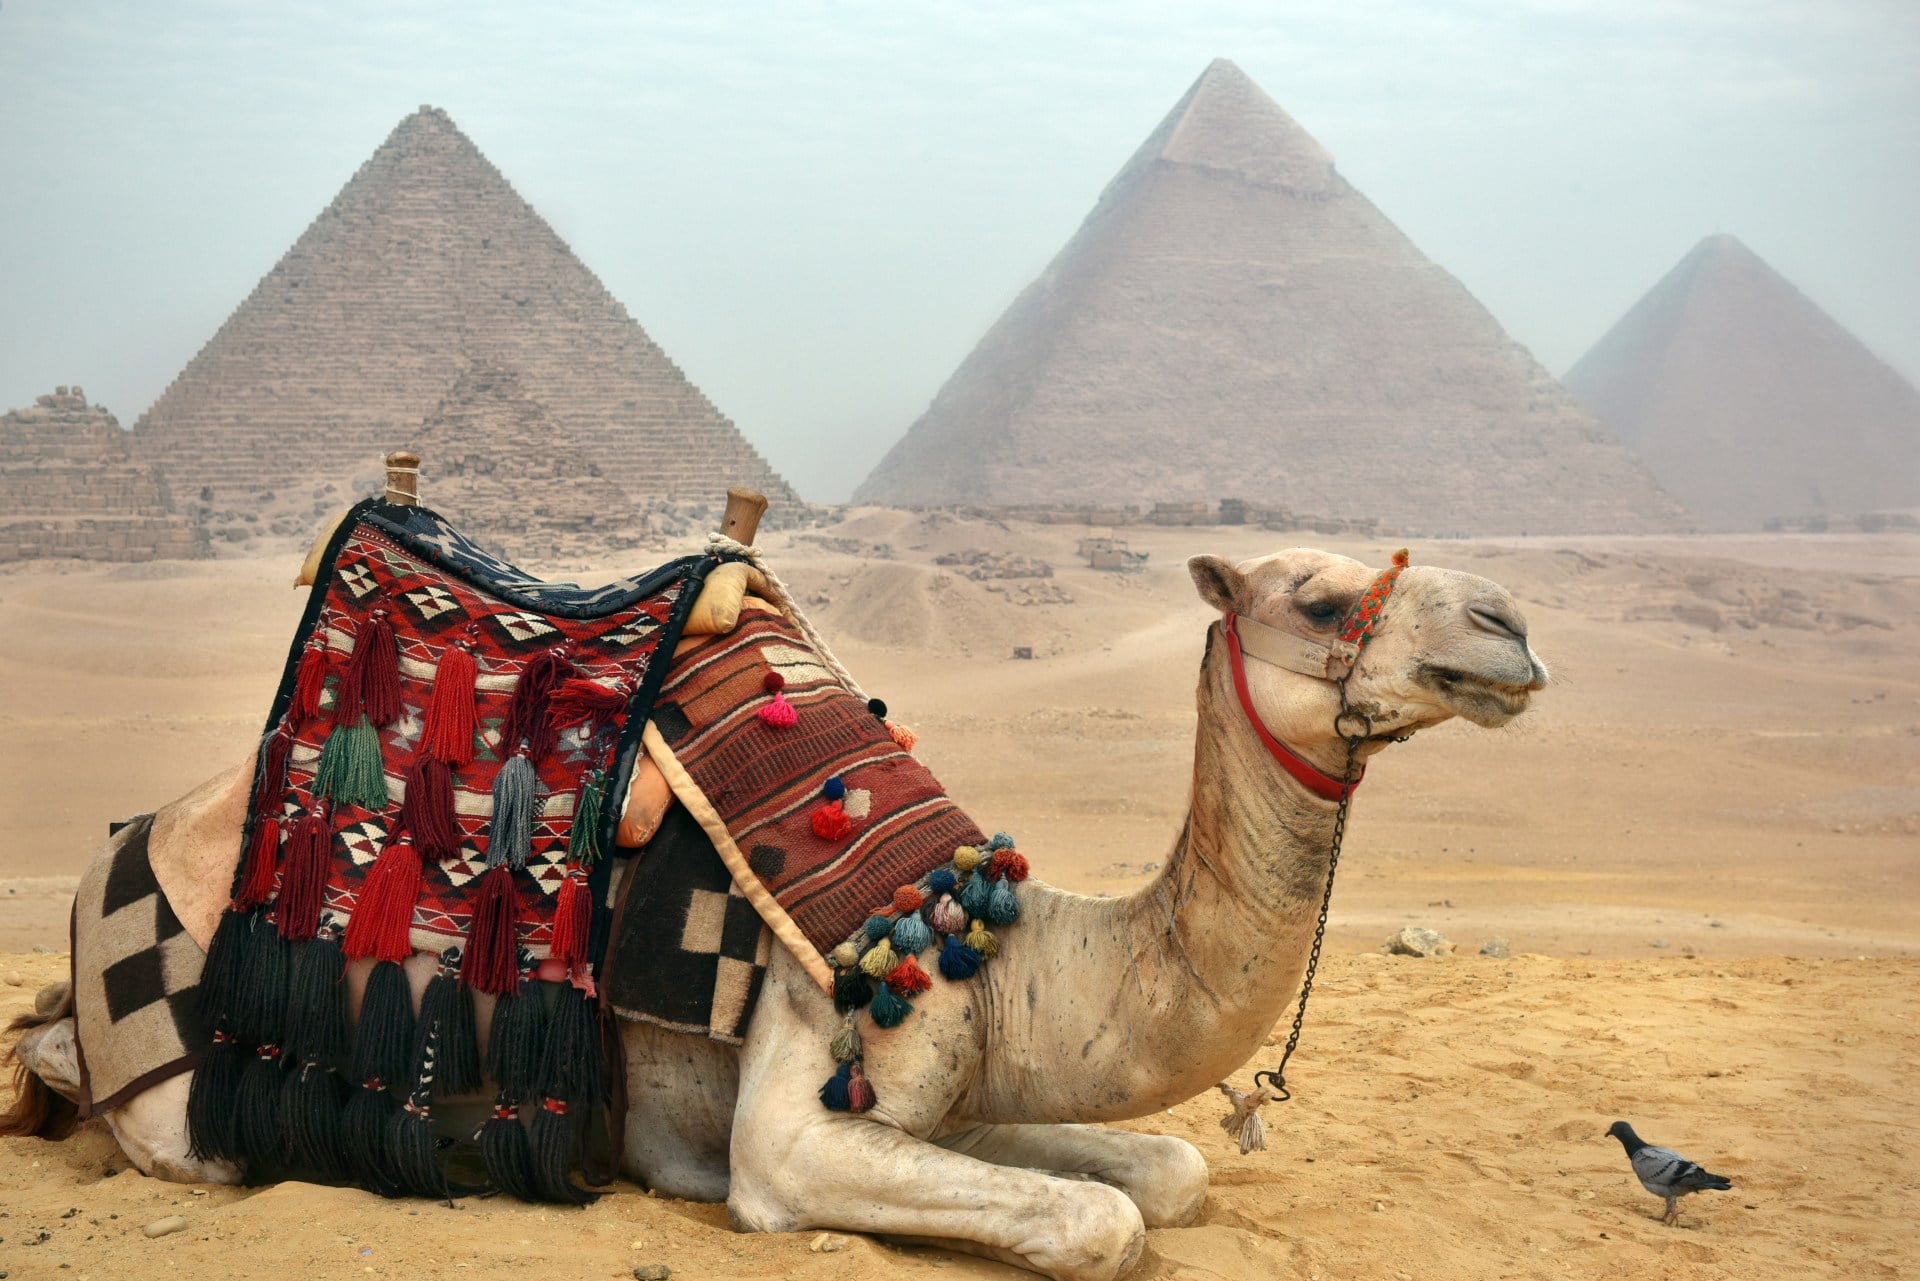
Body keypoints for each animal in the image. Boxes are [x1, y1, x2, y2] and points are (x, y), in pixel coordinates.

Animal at [6, 502, 1548, 1281]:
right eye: (1322, 603)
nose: (1512, 626)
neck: (997, 947)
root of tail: (106, 866)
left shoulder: (953, 1092)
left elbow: (1163, 1174)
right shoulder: (795, 1118)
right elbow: (1099, 1222)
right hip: (182, 1071)